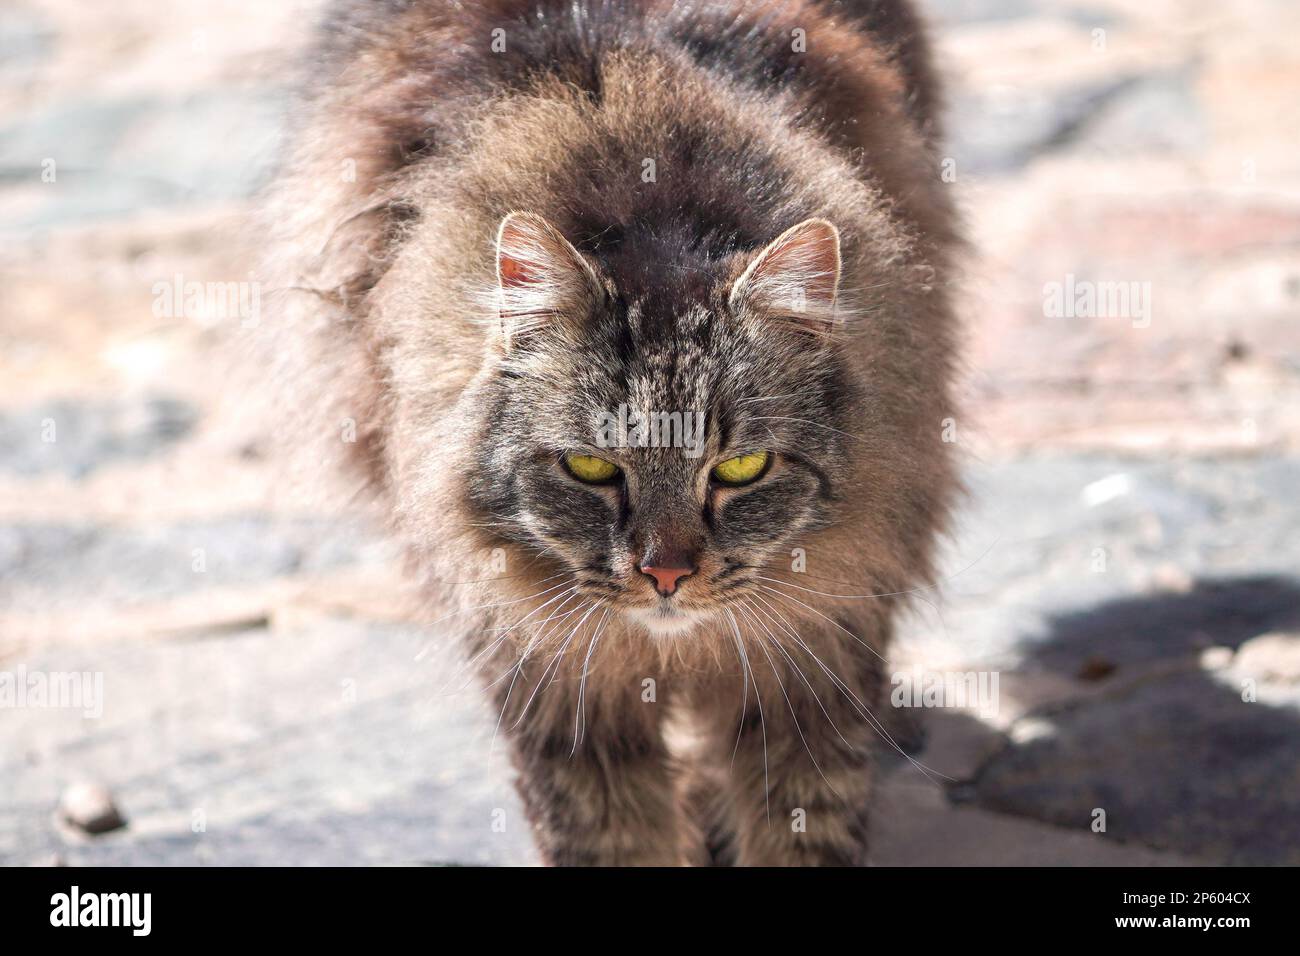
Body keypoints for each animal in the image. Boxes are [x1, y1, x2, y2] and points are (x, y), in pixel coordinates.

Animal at [261, 0, 956, 868]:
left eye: (742, 469)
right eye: (591, 469)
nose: (667, 575)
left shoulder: (818, 651)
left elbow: (803, 820)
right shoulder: (550, 680)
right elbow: (609, 831)